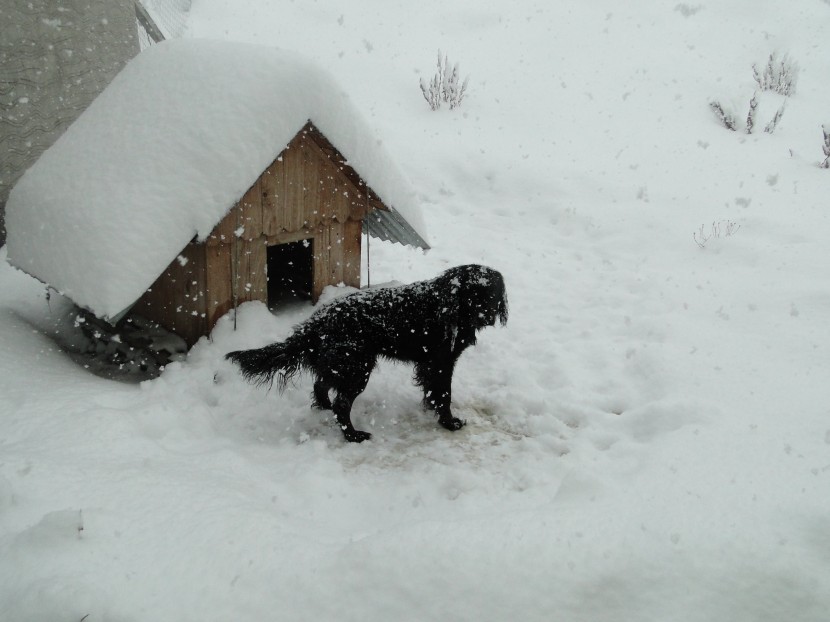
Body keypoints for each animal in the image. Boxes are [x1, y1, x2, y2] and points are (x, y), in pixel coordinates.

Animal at [226, 264, 508, 444]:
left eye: (492, 293)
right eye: (472, 293)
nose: (487, 315)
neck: (450, 308)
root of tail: (316, 322)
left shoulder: (430, 363)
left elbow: (432, 391)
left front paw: (432, 410)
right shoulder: (441, 361)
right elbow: (445, 394)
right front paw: (449, 422)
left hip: (342, 364)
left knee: (321, 385)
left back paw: (324, 407)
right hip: (357, 368)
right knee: (341, 404)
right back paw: (353, 436)